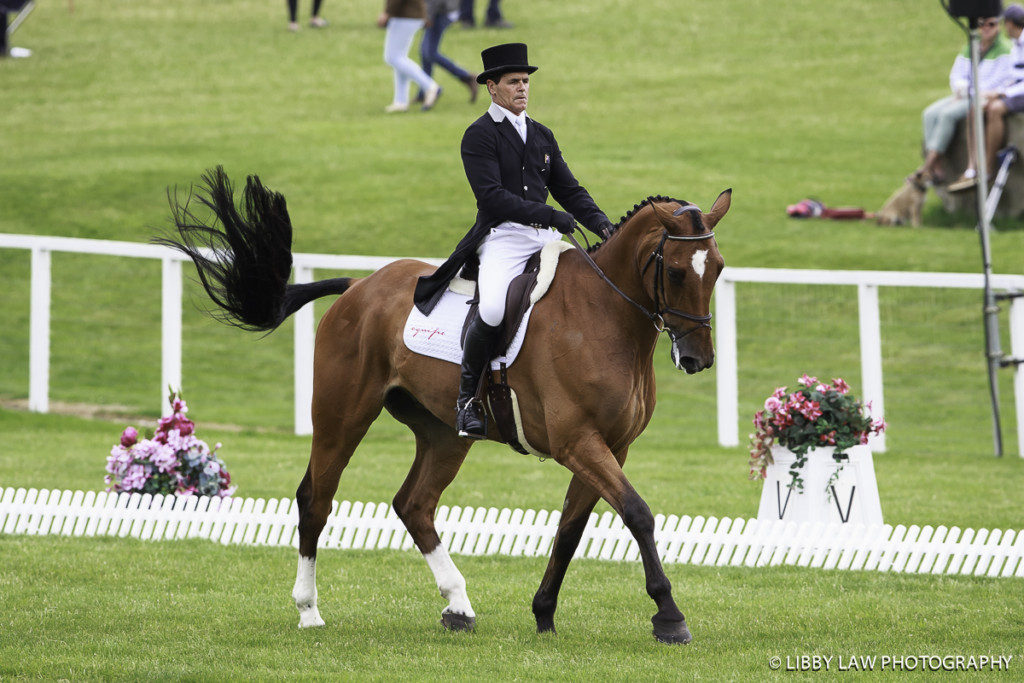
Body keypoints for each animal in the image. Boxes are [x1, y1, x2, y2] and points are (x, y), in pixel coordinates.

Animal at [161, 167, 729, 643]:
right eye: (677, 272)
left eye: (719, 269)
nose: (697, 358)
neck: (604, 315)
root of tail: (360, 285)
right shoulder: (578, 442)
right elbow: (637, 513)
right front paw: (669, 616)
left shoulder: (610, 445)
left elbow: (571, 528)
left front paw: (544, 612)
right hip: (342, 417)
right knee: (316, 499)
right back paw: (309, 610)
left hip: (444, 432)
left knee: (414, 504)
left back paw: (458, 605)